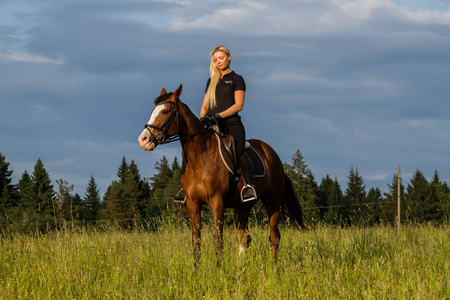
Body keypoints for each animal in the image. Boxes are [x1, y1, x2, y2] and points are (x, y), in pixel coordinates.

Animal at [137, 84, 306, 262]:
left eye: (165, 111)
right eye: (152, 111)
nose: (144, 140)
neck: (200, 158)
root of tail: (273, 154)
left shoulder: (217, 202)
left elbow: (218, 241)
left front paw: (219, 268)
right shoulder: (192, 203)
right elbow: (196, 242)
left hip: (272, 202)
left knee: (274, 237)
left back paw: (274, 266)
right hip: (242, 206)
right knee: (245, 238)